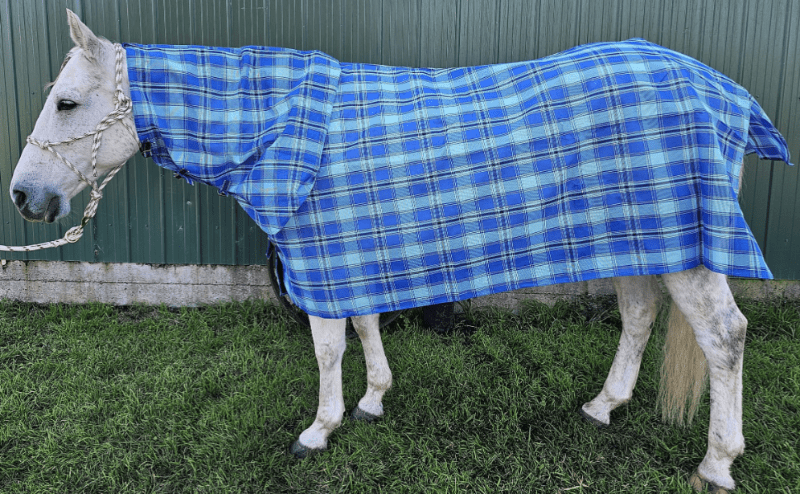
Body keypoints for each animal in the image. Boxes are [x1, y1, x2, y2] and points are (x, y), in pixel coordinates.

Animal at [9, 10, 792, 493]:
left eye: (68, 103)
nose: (23, 197)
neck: (277, 127)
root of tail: (722, 90)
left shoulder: (322, 255)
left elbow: (330, 345)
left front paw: (318, 429)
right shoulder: (348, 250)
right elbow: (364, 325)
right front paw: (373, 401)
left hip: (690, 249)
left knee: (725, 337)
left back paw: (717, 464)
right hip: (636, 238)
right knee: (637, 317)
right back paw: (604, 407)